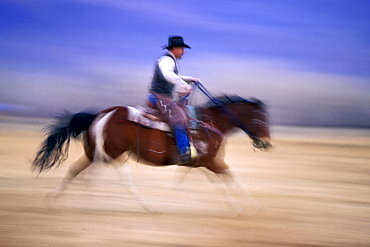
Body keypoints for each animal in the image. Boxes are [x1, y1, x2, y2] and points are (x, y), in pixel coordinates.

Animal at [33, 94, 272, 212]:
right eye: (260, 120)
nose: (266, 143)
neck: (210, 123)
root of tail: (101, 115)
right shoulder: (209, 161)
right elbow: (232, 176)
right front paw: (252, 206)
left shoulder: (200, 163)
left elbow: (218, 181)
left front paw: (238, 206)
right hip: (111, 154)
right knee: (109, 177)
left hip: (94, 153)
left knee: (76, 170)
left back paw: (53, 199)